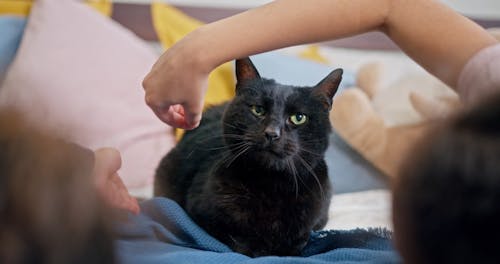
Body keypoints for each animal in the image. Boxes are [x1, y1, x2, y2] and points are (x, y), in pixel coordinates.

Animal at [155, 57, 344, 258]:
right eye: (258, 110)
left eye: (298, 117)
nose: (272, 133)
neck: (271, 185)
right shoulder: (200, 213)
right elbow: (237, 237)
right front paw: (258, 248)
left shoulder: (318, 217)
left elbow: (301, 239)